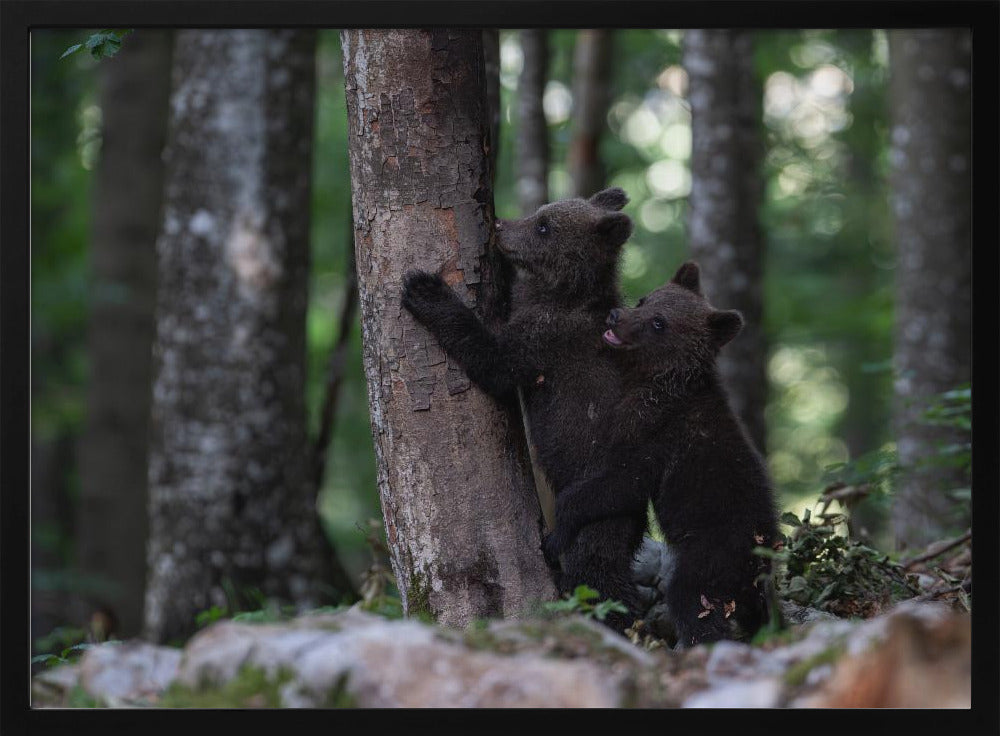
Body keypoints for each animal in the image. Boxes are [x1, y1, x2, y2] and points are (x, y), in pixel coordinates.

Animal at [400, 188, 648, 633]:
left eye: (544, 226)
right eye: (539, 213)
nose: (500, 226)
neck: (562, 293)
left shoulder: (544, 341)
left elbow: (493, 361)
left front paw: (425, 288)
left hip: (598, 498)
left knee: (596, 562)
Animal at [541, 261, 781, 647]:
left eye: (659, 323)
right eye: (645, 299)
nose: (616, 315)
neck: (657, 382)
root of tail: (760, 561)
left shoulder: (656, 437)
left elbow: (619, 483)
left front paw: (556, 532)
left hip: (712, 554)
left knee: (690, 599)